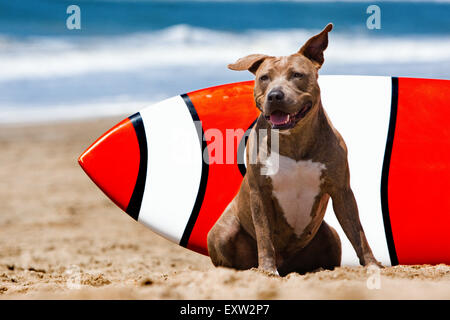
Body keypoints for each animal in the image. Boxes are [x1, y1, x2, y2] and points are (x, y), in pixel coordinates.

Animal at [206, 23, 382, 276]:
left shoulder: (342, 191)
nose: (275, 95)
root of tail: (287, 264)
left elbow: (358, 233)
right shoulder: (260, 194)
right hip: (223, 233)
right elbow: (264, 237)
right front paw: (267, 269)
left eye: (297, 75)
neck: (294, 141)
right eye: (264, 78)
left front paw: (372, 264)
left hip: (331, 236)